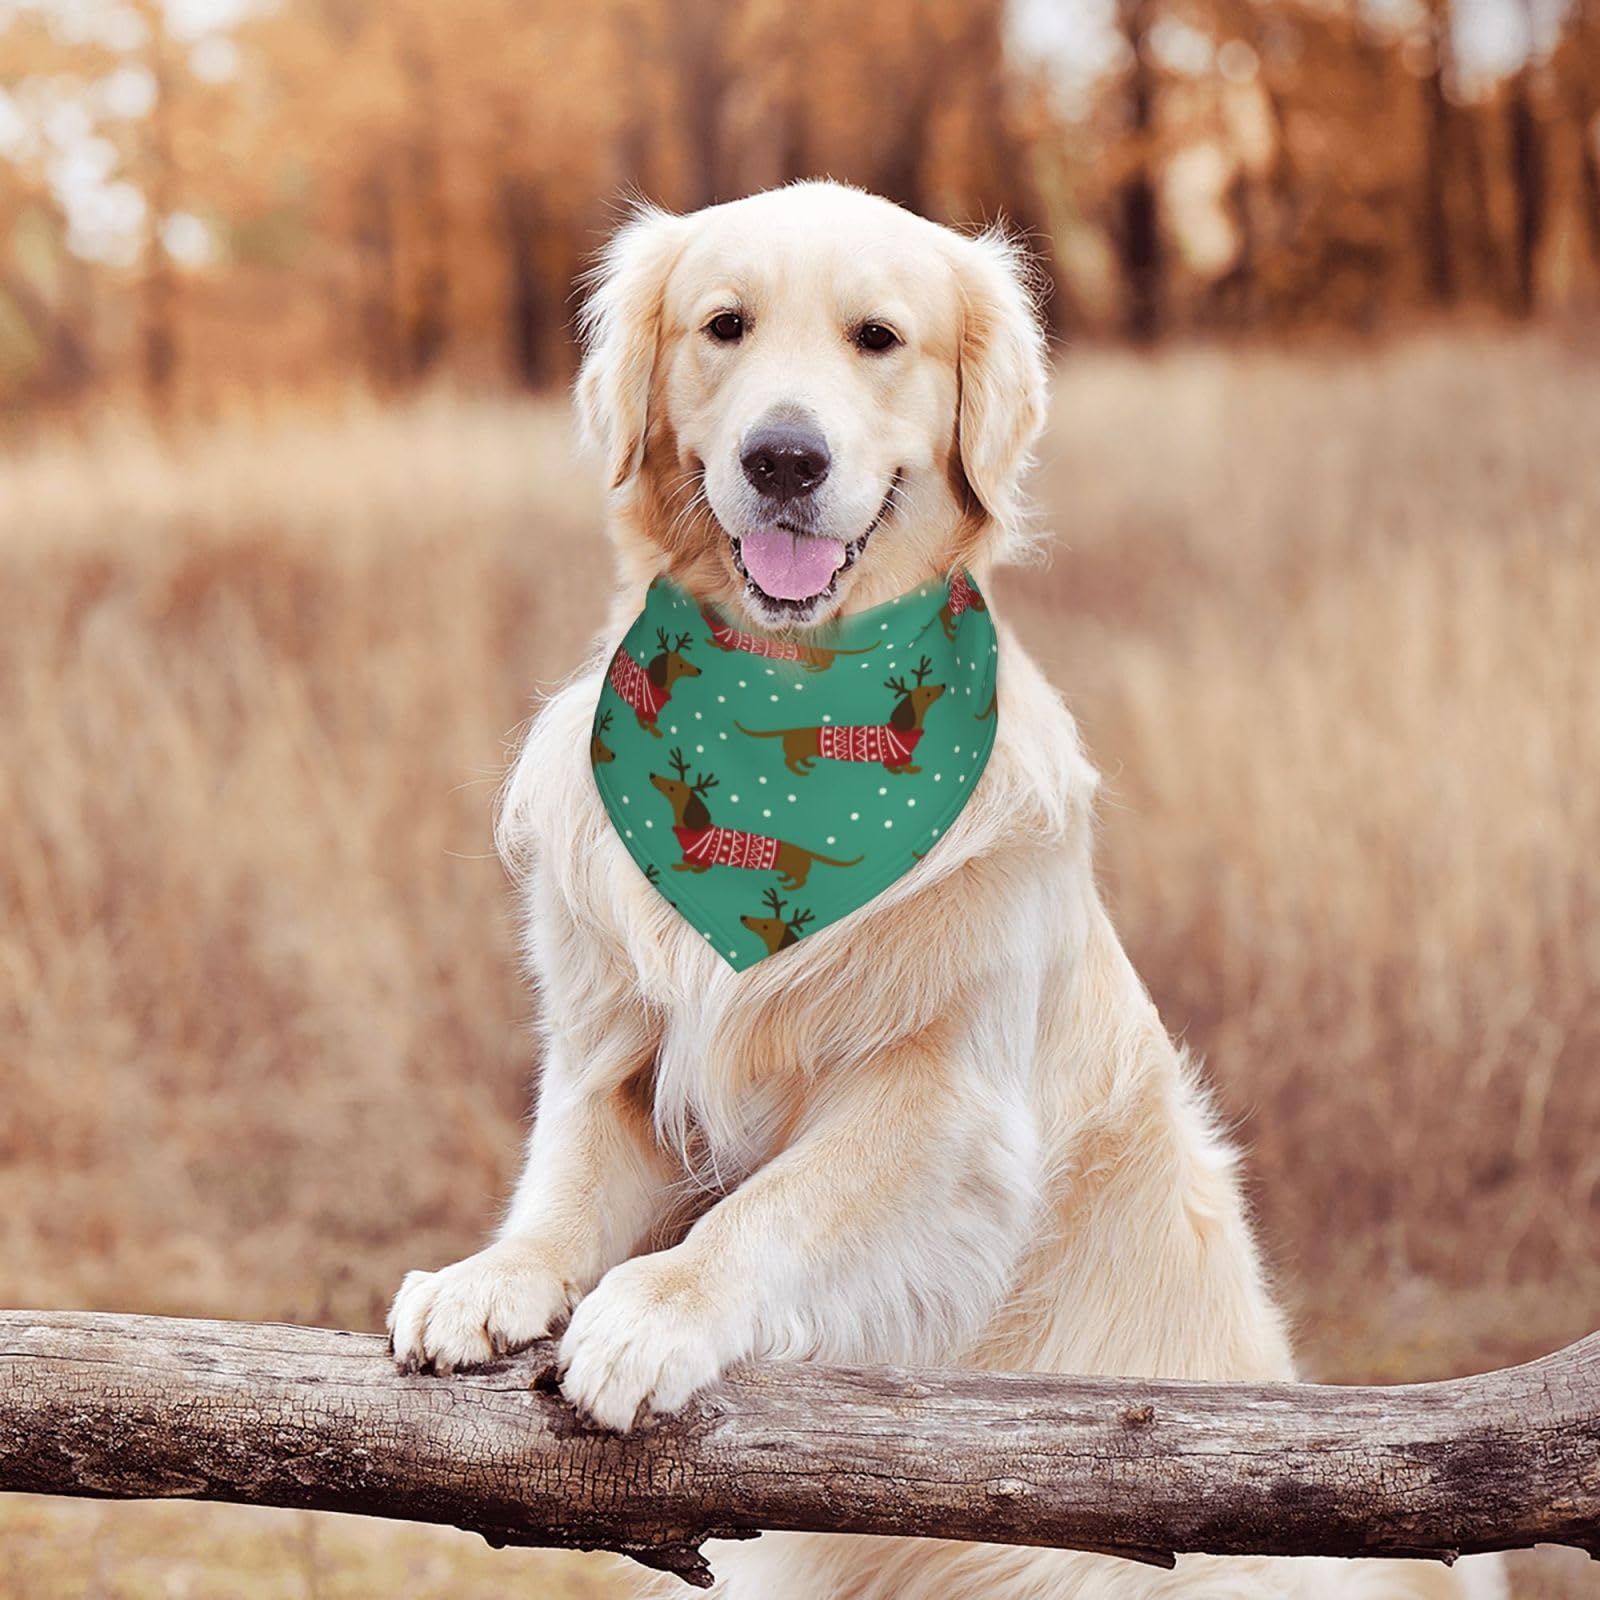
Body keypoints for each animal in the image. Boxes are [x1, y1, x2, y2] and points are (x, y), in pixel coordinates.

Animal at [649, 749, 863, 890]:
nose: (651, 774)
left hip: (799, 871)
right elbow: (688, 864)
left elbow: (695, 866)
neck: (694, 830)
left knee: (802, 881)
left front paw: (685, 869)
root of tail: (803, 851)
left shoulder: (703, 856)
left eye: (672, 788)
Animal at [736, 656, 946, 776]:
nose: (943, 686)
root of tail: (792, 731)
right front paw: (911, 770)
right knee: (789, 762)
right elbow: (900, 766)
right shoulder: (896, 756)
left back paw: (808, 765)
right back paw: (801, 772)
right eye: (927, 694)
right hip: (794, 753)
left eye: (928, 689)